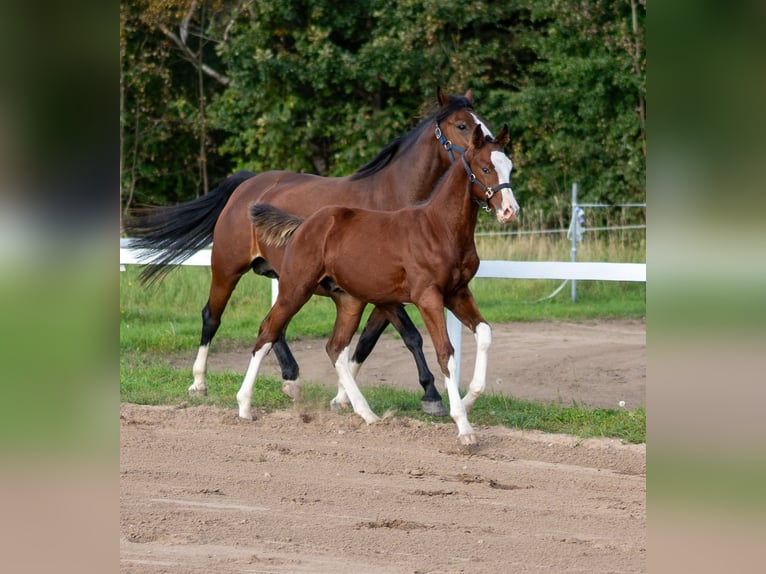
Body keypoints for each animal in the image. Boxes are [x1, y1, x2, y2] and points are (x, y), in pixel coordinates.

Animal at [125, 88, 493, 417]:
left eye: (483, 123)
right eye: (462, 125)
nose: (488, 145)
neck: (393, 200)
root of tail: (247, 184)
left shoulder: (383, 293)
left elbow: (365, 342)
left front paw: (344, 398)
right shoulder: (388, 292)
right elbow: (411, 336)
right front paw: (431, 395)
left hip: (283, 275)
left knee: (275, 327)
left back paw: (291, 380)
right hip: (227, 269)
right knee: (212, 316)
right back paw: (199, 383)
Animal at [240, 124, 518, 444]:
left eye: (509, 167)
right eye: (485, 168)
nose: (510, 211)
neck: (439, 228)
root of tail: (303, 225)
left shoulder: (457, 293)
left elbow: (484, 332)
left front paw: (469, 400)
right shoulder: (428, 297)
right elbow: (445, 352)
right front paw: (463, 426)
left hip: (349, 301)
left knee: (335, 347)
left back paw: (367, 414)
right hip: (295, 288)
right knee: (268, 331)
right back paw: (244, 406)